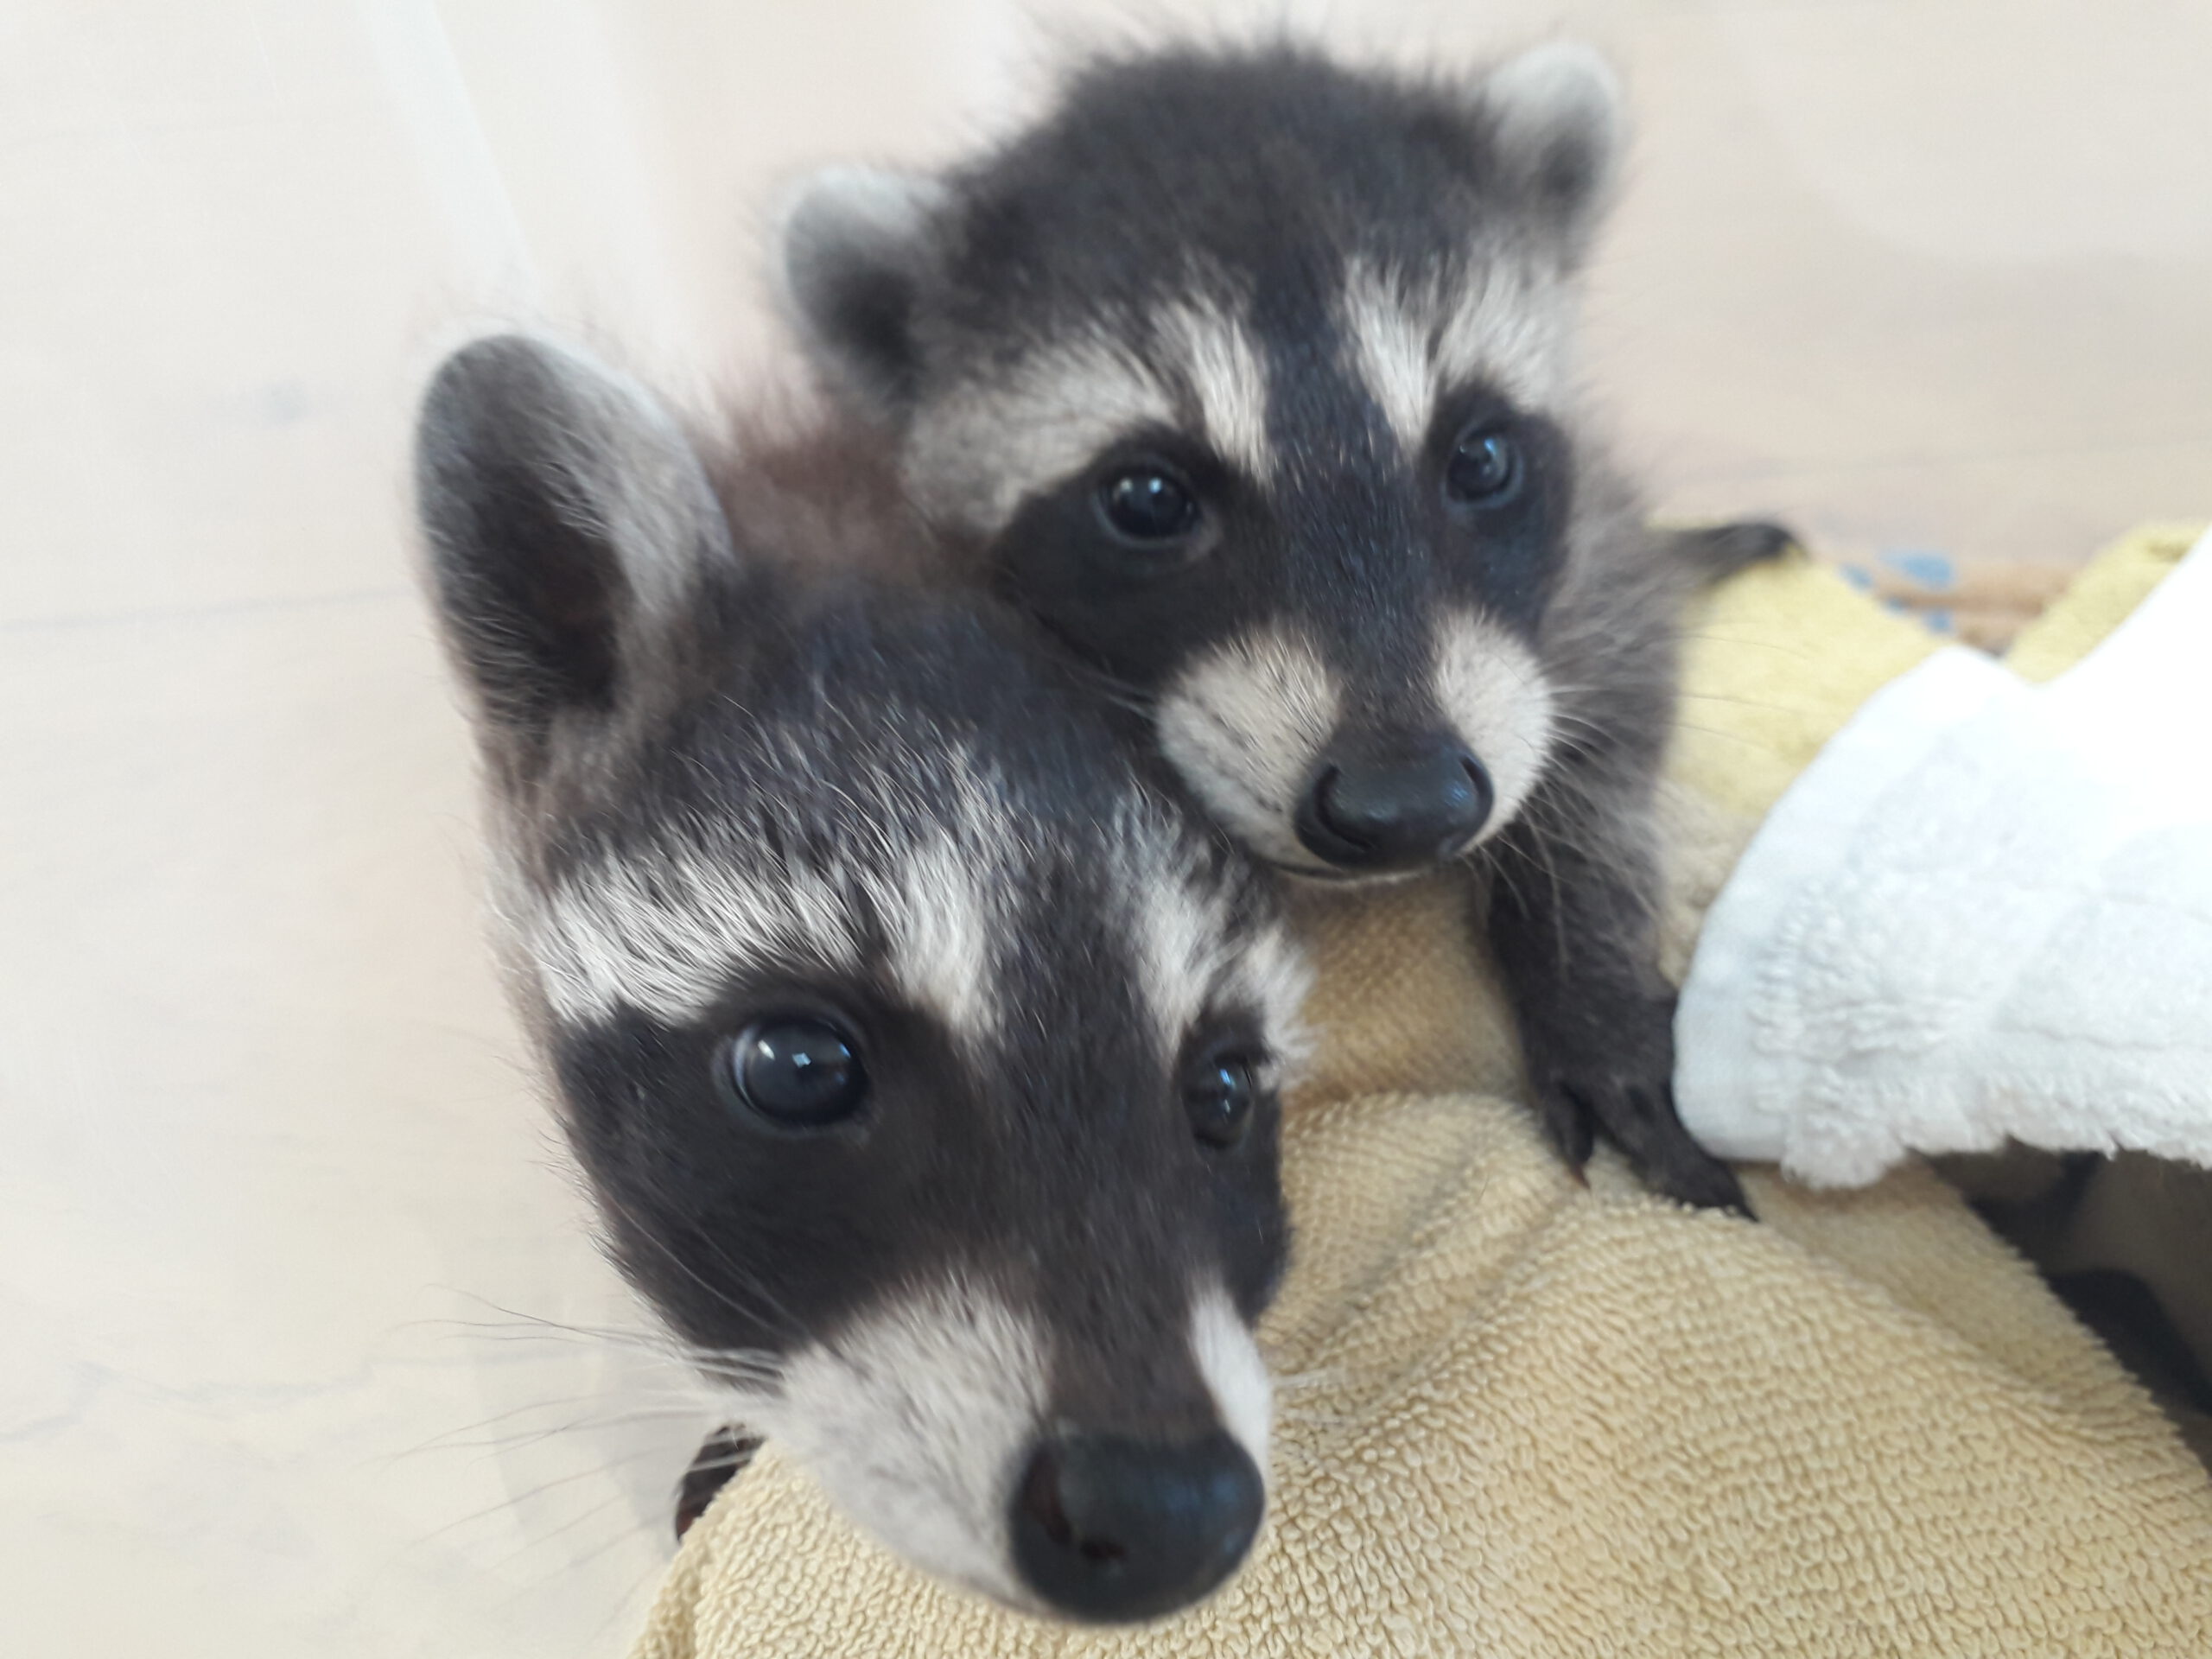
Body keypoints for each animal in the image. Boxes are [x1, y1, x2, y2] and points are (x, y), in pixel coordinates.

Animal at [779, 39, 1760, 1211]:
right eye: (1148, 499)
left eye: (1479, 456)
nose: (1407, 805)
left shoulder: (1581, 555)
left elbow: (1616, 693)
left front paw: (1585, 959)